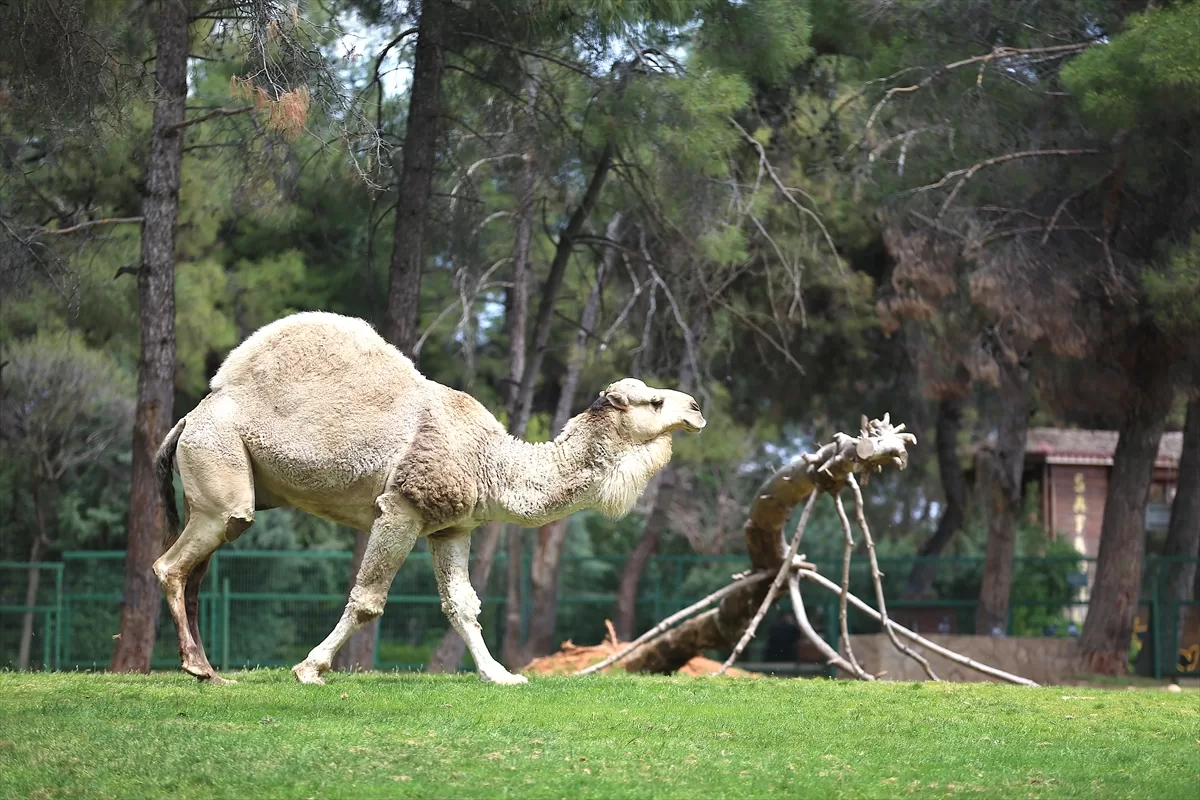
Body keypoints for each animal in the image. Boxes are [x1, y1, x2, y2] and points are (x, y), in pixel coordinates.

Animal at [150, 309, 700, 686]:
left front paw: (501, 675)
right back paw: (199, 669)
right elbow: (368, 599)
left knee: (196, 569)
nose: (695, 407)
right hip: (221, 464)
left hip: (227, 488)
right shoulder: (401, 508)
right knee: (172, 564)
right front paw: (309, 668)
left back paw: (209, 669)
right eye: (654, 401)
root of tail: (189, 417)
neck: (492, 462)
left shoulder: (452, 526)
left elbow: (463, 604)